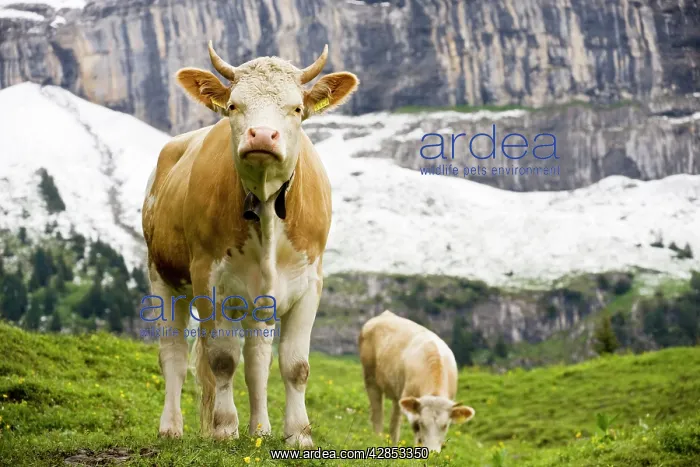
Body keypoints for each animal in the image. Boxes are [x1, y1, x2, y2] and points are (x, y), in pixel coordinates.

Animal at [141, 41, 359, 448]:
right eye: (233, 106)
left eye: (297, 108)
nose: (261, 136)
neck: (267, 204)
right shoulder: (208, 279)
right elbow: (223, 358)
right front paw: (225, 428)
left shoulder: (310, 283)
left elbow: (295, 365)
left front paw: (299, 434)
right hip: (163, 277)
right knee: (174, 354)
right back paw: (171, 427)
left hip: (259, 299)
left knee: (258, 359)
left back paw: (261, 428)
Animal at [358, 310, 475, 452]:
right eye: (422, 423)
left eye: (445, 426)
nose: (432, 453)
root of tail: (385, 315)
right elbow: (416, 432)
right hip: (371, 380)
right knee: (377, 415)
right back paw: (377, 440)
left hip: (397, 392)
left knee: (394, 422)